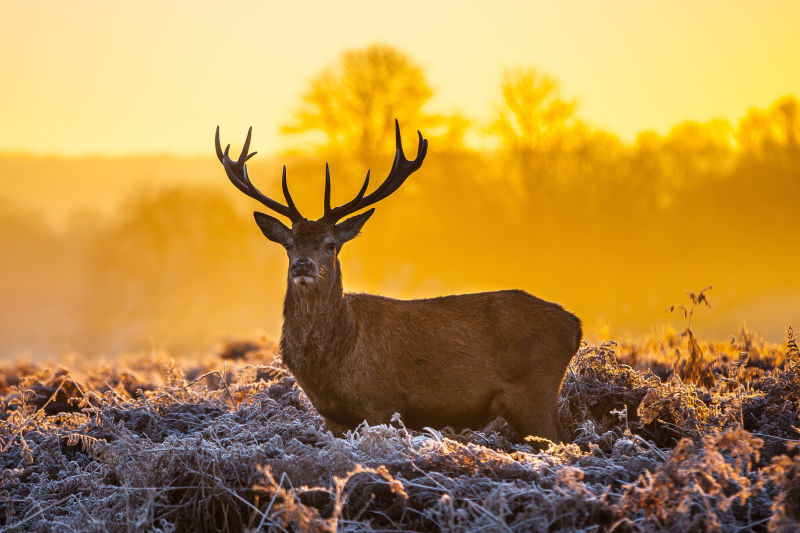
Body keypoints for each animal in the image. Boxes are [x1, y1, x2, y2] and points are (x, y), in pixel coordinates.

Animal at [214, 120, 582, 443]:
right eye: (288, 245)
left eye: (331, 244)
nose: (302, 265)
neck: (335, 361)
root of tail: (574, 324)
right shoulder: (332, 416)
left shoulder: (381, 403)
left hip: (533, 391)